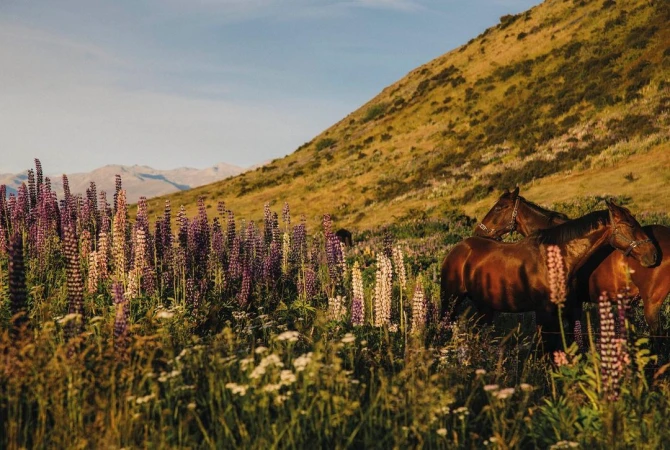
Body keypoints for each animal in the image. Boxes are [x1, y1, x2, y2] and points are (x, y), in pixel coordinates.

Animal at [441, 200, 657, 351]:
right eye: (630, 225)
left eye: (500, 207)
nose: (653, 254)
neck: (555, 260)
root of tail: (458, 249)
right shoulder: (545, 312)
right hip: (452, 300)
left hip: (484, 308)